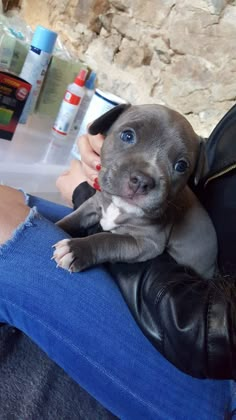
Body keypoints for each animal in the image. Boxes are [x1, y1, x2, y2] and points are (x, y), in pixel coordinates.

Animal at [53, 103, 218, 278]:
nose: (142, 181)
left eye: (181, 166)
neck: (120, 206)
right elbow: (72, 219)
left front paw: (77, 249)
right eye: (127, 136)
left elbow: (108, 240)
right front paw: (57, 226)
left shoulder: (147, 243)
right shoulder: (93, 205)